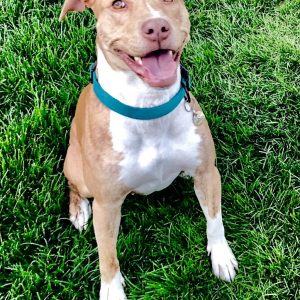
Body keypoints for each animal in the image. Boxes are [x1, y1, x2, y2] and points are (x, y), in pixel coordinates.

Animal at [60, 0, 237, 298]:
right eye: (118, 4)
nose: (157, 27)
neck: (149, 106)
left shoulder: (207, 173)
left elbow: (215, 218)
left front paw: (221, 256)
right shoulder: (107, 205)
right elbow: (107, 254)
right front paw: (112, 289)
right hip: (77, 170)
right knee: (74, 186)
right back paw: (79, 210)